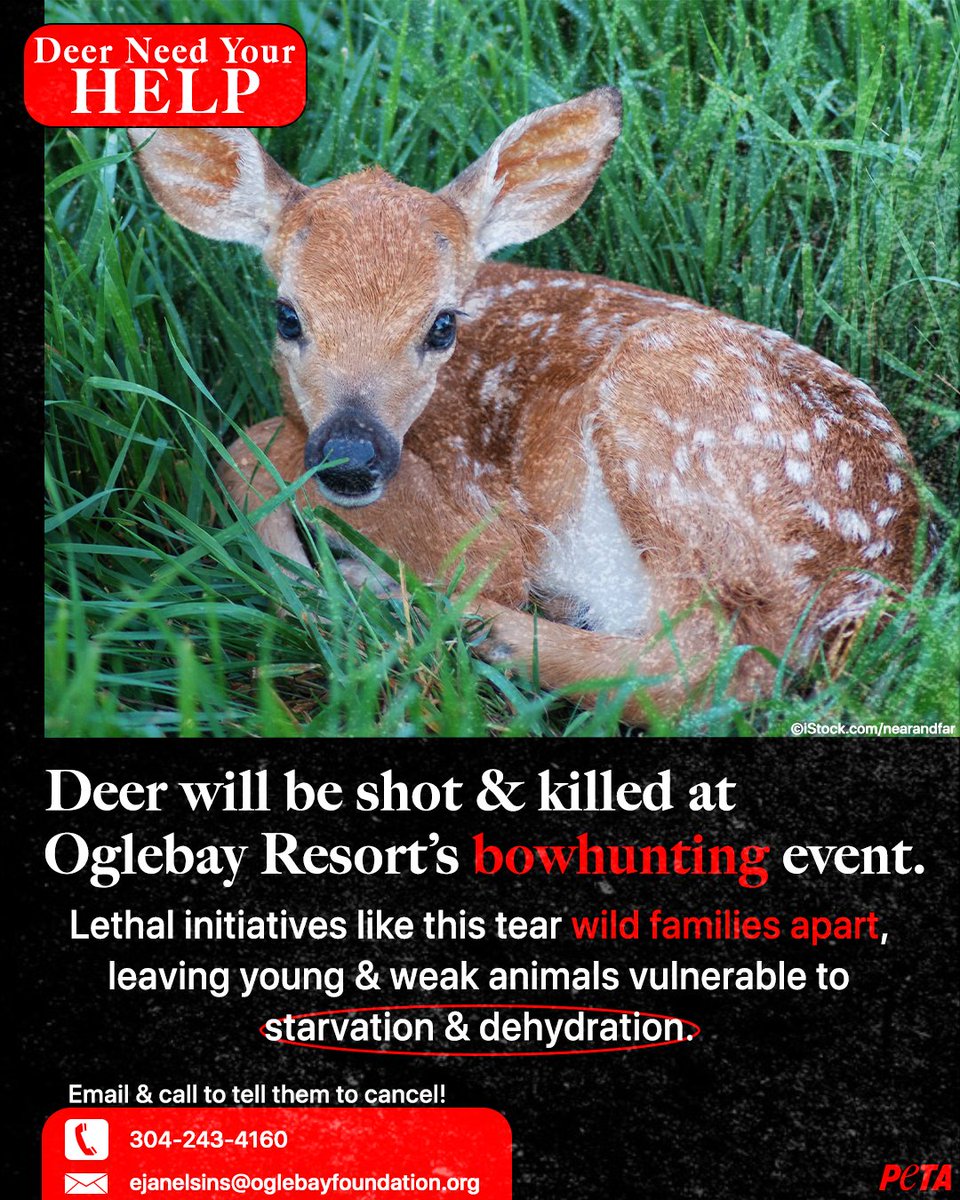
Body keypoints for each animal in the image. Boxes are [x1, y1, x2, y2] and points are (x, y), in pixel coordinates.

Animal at [127, 88, 921, 724]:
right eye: (287, 315)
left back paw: (434, 615)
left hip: (661, 418)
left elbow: (253, 443)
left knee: (711, 667)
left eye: (442, 325)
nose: (351, 458)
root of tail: (879, 578)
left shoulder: (487, 519)